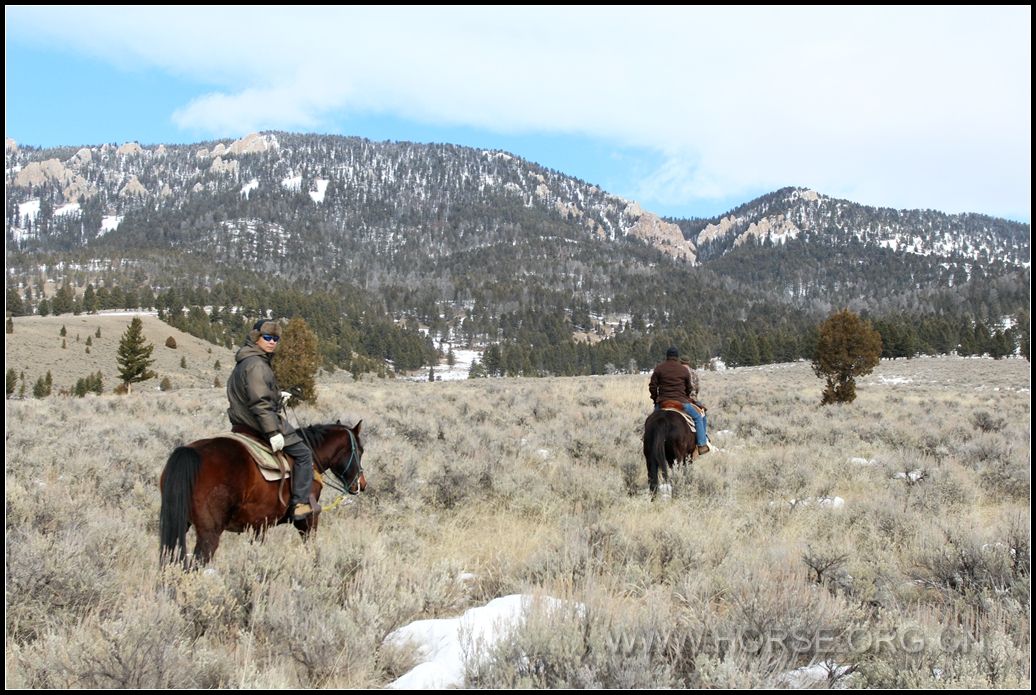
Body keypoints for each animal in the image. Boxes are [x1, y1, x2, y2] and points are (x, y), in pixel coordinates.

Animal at [159, 420, 366, 567]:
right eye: (361, 450)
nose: (361, 484)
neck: (312, 456)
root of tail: (188, 452)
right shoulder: (308, 518)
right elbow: (311, 547)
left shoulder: (259, 526)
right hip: (209, 533)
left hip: (178, 524)